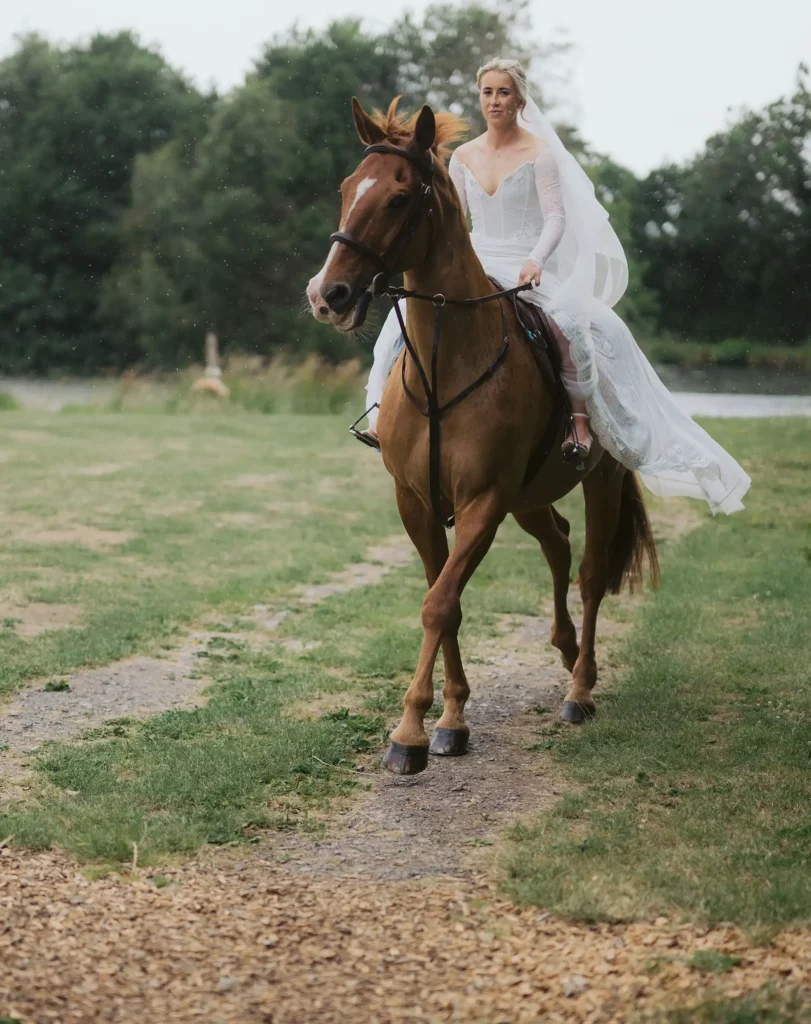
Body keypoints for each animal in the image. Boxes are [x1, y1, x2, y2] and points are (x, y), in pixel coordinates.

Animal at [308, 97, 659, 775]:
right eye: (344, 189)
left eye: (398, 197)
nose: (326, 294)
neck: (449, 358)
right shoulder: (418, 502)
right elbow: (443, 599)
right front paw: (450, 718)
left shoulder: (483, 502)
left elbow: (440, 603)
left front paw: (411, 732)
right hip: (530, 497)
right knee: (558, 542)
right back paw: (564, 647)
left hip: (595, 481)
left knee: (591, 572)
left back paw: (581, 687)